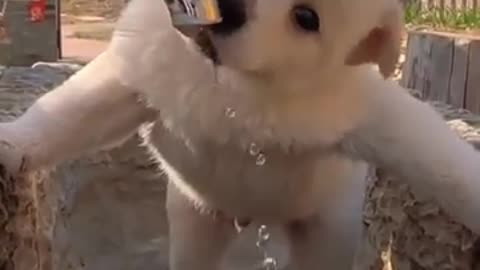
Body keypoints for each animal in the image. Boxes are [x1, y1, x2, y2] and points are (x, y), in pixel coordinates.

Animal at [2, 0, 480, 270]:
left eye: (306, 17)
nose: (228, 9)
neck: (234, 84)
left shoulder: (369, 112)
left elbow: (442, 163)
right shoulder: (139, 75)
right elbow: (69, 112)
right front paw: (11, 144)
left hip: (327, 228)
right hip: (196, 219)